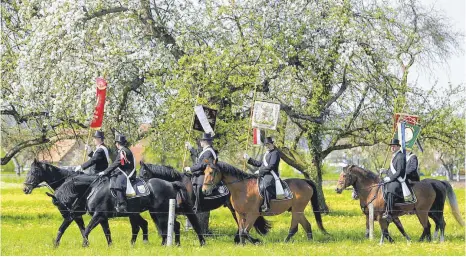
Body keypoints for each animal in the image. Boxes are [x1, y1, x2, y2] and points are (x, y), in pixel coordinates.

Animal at [48, 174, 206, 246]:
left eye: (60, 204)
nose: (69, 216)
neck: (93, 188)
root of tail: (170, 183)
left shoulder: (98, 215)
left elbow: (86, 229)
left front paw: (84, 244)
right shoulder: (102, 217)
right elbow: (107, 232)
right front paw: (110, 246)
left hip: (160, 213)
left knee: (168, 227)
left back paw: (168, 244)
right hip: (152, 213)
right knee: (168, 226)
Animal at [334, 164, 462, 242]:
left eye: (344, 175)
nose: (337, 189)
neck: (372, 190)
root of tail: (436, 183)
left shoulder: (381, 216)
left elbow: (385, 231)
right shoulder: (381, 216)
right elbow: (395, 229)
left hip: (424, 212)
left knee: (432, 225)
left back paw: (433, 240)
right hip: (431, 212)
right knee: (437, 224)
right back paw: (429, 240)